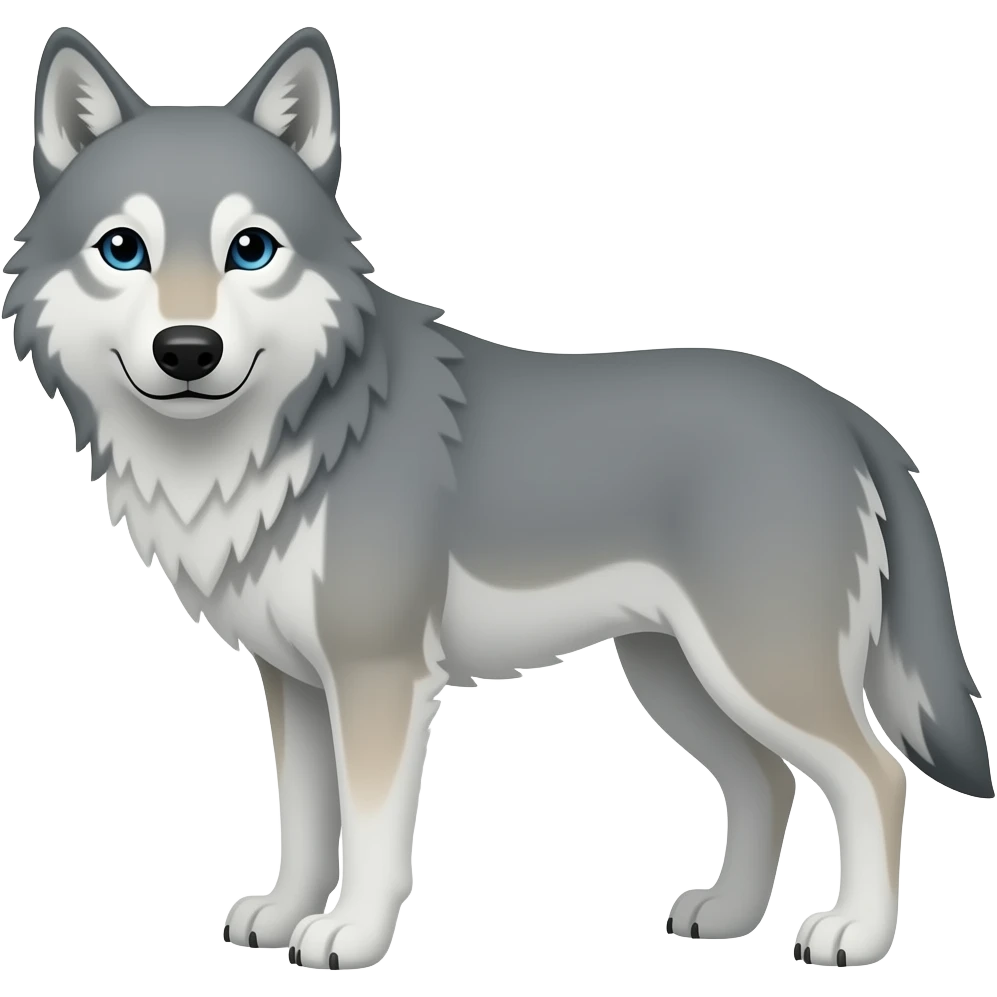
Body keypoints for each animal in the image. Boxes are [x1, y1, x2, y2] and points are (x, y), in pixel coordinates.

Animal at [3, 24, 992, 972]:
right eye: (123, 250)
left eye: (250, 250)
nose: (187, 349)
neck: (284, 438)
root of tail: (844, 413)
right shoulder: (294, 682)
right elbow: (305, 820)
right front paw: (283, 915)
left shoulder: (378, 676)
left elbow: (370, 831)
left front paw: (349, 936)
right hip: (675, 676)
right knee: (767, 781)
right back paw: (726, 916)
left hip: (756, 672)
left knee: (873, 776)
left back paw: (855, 934)